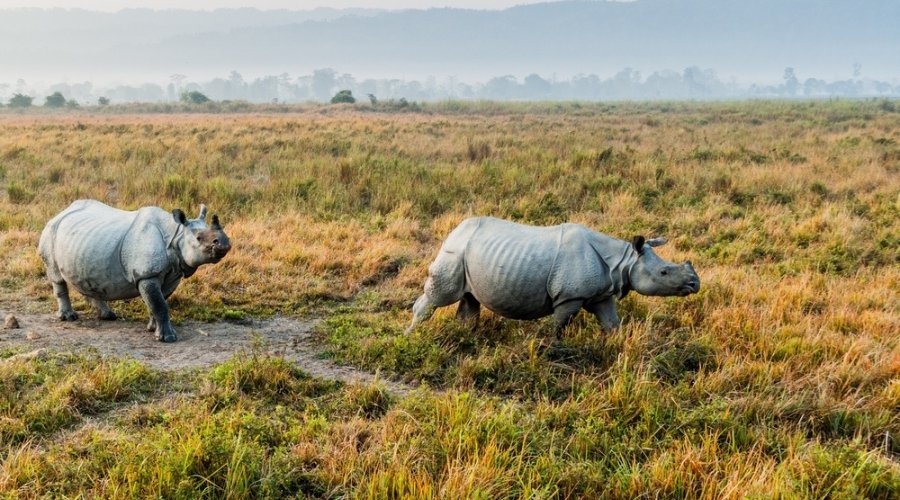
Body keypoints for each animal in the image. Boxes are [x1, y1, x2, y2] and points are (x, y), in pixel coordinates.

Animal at [38, 199, 231, 342]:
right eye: (199, 238)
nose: (224, 244)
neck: (176, 235)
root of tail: (61, 212)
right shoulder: (146, 274)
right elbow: (159, 304)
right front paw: (167, 338)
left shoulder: (172, 275)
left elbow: (159, 302)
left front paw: (153, 329)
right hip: (50, 232)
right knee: (56, 275)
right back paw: (69, 318)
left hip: (85, 242)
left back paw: (108, 316)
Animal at [407, 216, 700, 337]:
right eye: (663, 272)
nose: (695, 284)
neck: (624, 260)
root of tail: (455, 229)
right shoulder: (569, 296)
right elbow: (559, 325)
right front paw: (550, 348)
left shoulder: (601, 294)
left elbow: (611, 323)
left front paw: (618, 345)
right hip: (455, 252)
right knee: (440, 297)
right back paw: (411, 334)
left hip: (470, 254)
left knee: (470, 298)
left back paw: (465, 337)